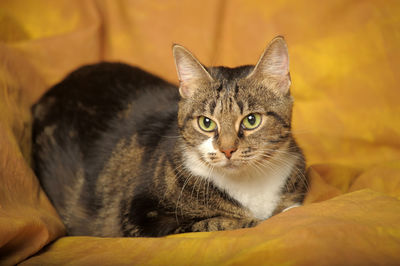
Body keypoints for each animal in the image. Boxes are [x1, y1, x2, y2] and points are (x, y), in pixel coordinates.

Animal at [32, 35, 306, 237]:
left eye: (252, 120)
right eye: (206, 123)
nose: (227, 149)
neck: (248, 184)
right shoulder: (141, 216)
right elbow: (220, 222)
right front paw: (265, 218)